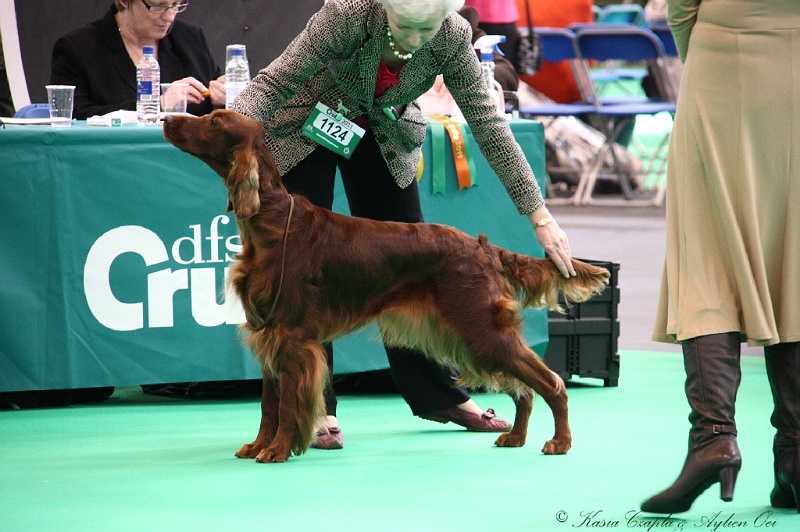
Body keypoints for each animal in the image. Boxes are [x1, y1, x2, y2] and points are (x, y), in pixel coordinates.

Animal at [166, 110, 608, 464]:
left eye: (215, 122)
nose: (168, 119)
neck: (271, 220)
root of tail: (483, 247)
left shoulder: (290, 337)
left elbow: (288, 404)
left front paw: (277, 450)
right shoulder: (268, 334)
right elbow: (268, 404)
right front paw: (259, 445)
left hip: (480, 328)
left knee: (550, 383)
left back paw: (559, 442)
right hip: (475, 335)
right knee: (523, 388)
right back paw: (516, 437)